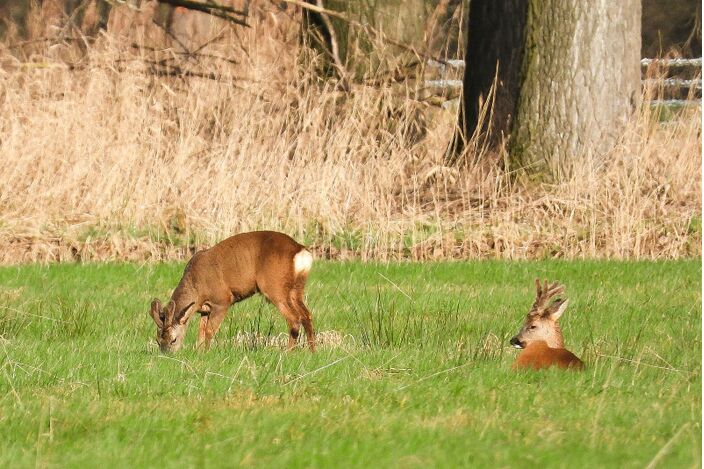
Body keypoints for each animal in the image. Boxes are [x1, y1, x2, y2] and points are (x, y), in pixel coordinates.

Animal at [150, 230, 314, 352]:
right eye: (158, 340)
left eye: (173, 340)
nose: (166, 355)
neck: (197, 287)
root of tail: (300, 250)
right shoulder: (205, 309)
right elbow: (201, 332)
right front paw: (199, 352)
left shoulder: (222, 300)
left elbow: (209, 331)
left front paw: (206, 353)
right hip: (296, 289)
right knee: (306, 315)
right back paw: (312, 351)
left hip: (274, 286)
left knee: (294, 318)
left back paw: (288, 353)